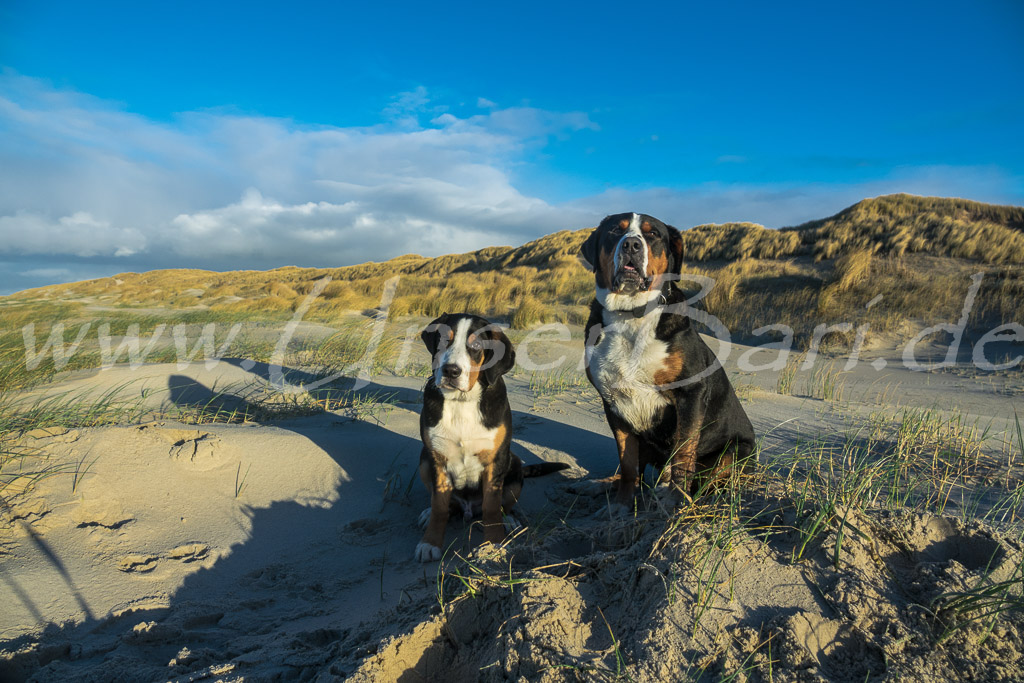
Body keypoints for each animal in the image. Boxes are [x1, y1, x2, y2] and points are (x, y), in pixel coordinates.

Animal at [415, 313, 567, 562]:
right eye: (443, 340)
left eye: (476, 346)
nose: (450, 371)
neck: (461, 402)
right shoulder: (438, 458)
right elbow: (439, 505)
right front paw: (430, 542)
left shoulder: (496, 460)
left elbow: (492, 506)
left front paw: (494, 544)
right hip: (424, 460)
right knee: (444, 504)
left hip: (513, 464)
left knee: (505, 505)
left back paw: (510, 520)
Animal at [579, 212, 755, 508]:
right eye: (616, 231)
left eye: (653, 234)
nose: (631, 245)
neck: (631, 315)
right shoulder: (612, 402)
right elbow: (627, 462)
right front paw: (622, 503)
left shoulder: (690, 393)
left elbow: (683, 454)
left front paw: (675, 500)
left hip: (736, 450)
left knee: (706, 479)